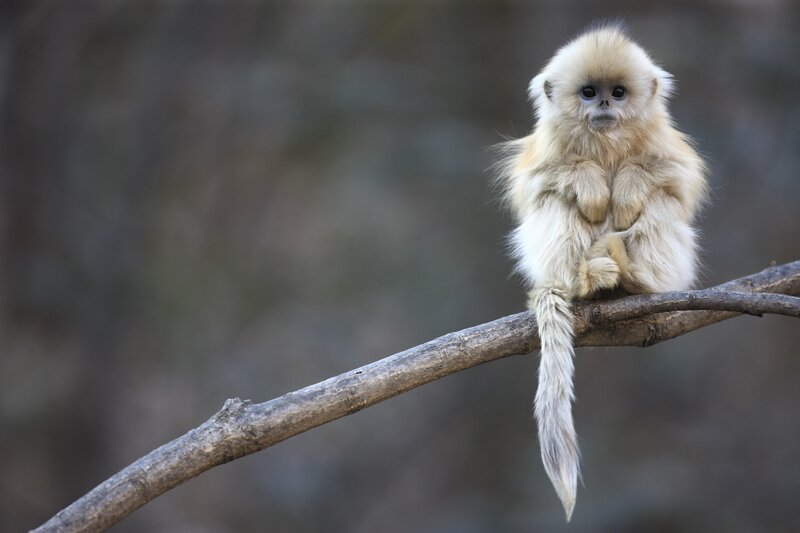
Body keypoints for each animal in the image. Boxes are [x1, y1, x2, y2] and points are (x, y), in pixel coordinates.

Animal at [496, 23, 708, 520]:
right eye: (589, 92)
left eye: (618, 92)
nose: (605, 106)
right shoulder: (545, 151)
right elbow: (538, 184)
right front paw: (591, 185)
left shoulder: (665, 145)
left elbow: (678, 180)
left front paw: (627, 187)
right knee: (555, 201)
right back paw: (586, 280)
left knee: (661, 202)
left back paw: (634, 278)